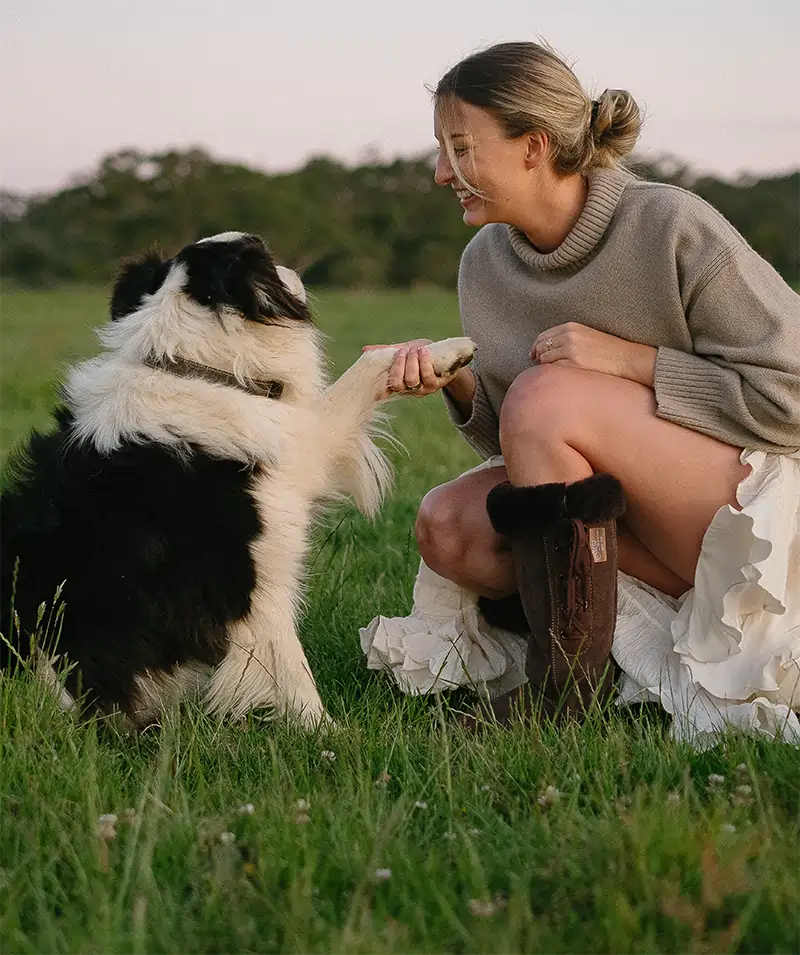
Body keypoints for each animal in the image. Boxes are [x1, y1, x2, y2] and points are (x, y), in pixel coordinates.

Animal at [0, 235, 476, 728]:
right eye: (264, 255)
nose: (295, 271)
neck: (196, 370)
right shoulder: (255, 575)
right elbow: (291, 668)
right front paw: (327, 734)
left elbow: (362, 371)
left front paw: (446, 353)